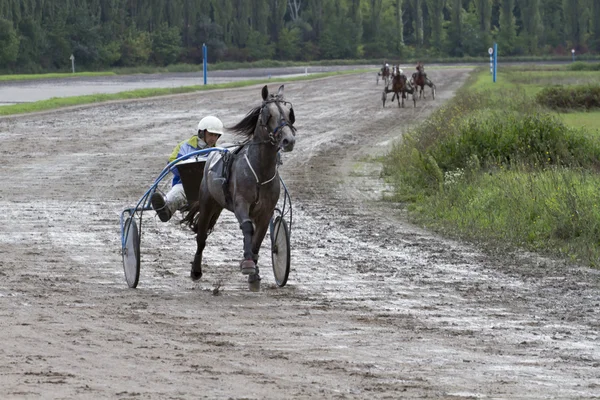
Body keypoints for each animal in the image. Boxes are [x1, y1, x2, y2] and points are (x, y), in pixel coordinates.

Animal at [183, 84, 296, 284]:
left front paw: (254, 272)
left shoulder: (266, 211)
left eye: (289, 113)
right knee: (201, 237)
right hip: (207, 202)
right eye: (268, 114)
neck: (260, 171)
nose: (288, 140)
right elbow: (247, 228)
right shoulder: (241, 203)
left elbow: (258, 238)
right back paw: (196, 270)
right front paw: (249, 264)